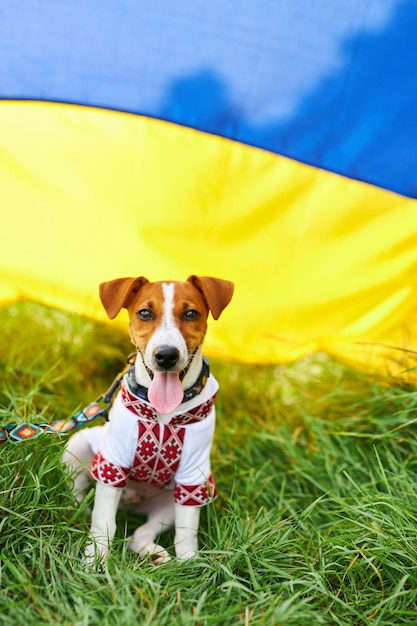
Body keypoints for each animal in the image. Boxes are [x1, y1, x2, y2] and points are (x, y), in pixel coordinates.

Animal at [64, 272, 234, 560]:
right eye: (144, 313)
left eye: (191, 313)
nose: (166, 355)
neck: (163, 416)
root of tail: (131, 502)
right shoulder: (112, 464)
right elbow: (104, 523)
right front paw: (94, 561)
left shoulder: (193, 477)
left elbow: (187, 532)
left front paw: (191, 564)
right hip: (77, 448)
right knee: (78, 494)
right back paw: (76, 514)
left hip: (168, 501)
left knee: (142, 531)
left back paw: (151, 552)